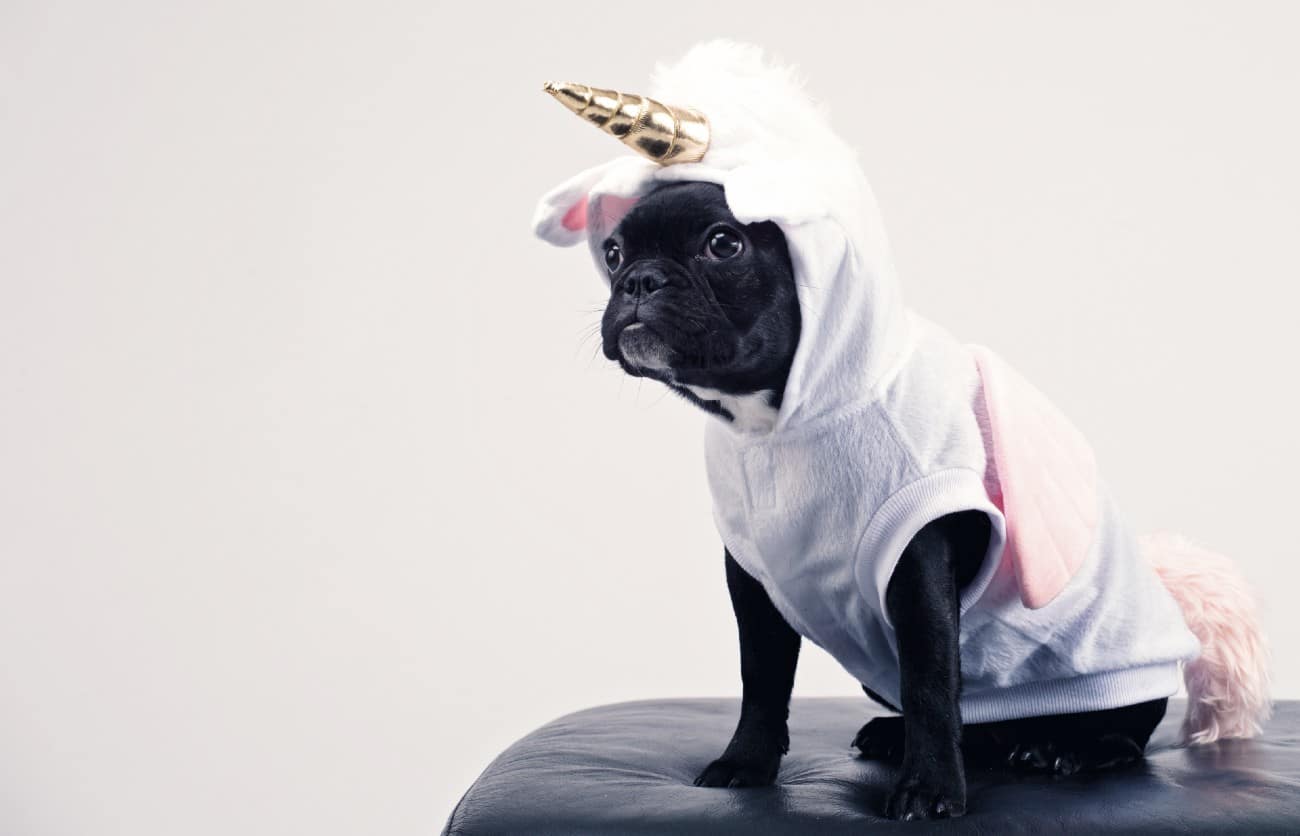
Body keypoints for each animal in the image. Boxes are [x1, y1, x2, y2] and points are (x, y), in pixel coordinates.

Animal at [598, 182, 1170, 816]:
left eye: (723, 244)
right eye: (613, 254)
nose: (639, 279)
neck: (772, 423)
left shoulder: (916, 564)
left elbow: (929, 679)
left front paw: (930, 790)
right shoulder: (753, 580)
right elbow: (762, 675)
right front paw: (745, 761)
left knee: (1125, 733)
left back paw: (1067, 749)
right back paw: (907, 737)